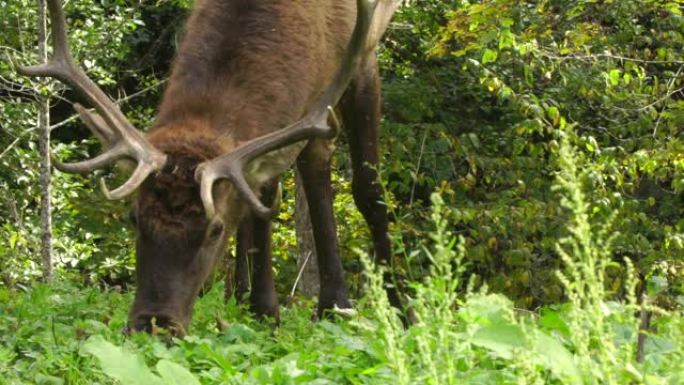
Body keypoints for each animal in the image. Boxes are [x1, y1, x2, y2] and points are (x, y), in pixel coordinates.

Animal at [20, 0, 400, 332]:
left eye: (214, 229)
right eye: (134, 217)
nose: (154, 324)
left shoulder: (360, 55)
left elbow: (366, 188)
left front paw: (381, 307)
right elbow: (262, 199)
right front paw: (266, 310)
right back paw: (246, 297)